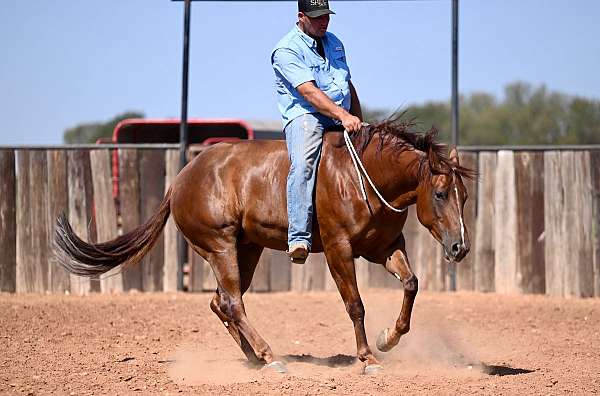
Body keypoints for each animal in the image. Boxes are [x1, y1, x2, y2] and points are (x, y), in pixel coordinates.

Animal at [55, 117, 474, 374]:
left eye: (465, 196)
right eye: (440, 193)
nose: (460, 248)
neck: (361, 177)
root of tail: (181, 178)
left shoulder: (385, 247)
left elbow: (411, 283)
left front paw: (389, 338)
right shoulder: (338, 249)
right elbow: (355, 305)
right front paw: (368, 358)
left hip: (247, 249)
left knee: (221, 302)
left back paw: (254, 356)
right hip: (220, 246)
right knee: (232, 302)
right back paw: (270, 355)